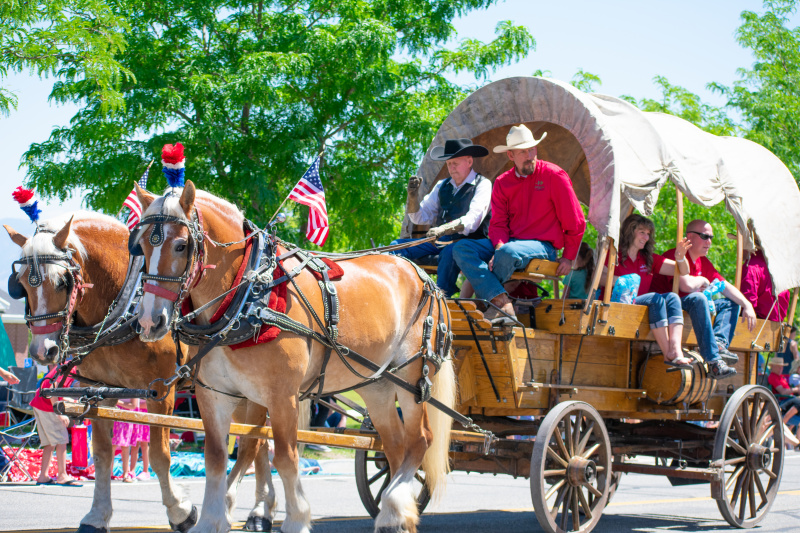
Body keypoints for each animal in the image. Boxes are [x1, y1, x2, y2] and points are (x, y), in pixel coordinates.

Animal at [3, 213, 282, 532]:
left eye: (62, 281)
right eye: (20, 284)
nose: (42, 350)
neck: (126, 304)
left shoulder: (160, 392)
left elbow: (159, 455)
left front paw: (181, 511)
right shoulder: (100, 392)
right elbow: (103, 455)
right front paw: (97, 515)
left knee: (252, 443)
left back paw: (250, 509)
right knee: (260, 444)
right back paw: (261, 511)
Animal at [132, 180, 456, 532]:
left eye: (181, 246)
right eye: (142, 248)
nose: (149, 321)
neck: (245, 297)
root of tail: (423, 276)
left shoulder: (281, 395)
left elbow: (286, 458)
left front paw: (296, 518)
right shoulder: (214, 394)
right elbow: (217, 458)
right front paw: (209, 520)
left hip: (410, 377)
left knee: (420, 440)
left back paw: (395, 504)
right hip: (377, 384)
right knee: (394, 446)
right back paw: (395, 514)